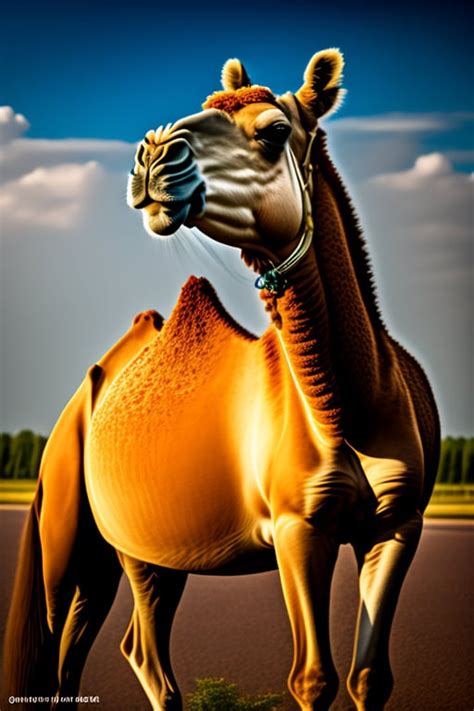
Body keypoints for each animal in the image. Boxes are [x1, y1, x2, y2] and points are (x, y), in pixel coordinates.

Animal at [4, 50, 440, 711]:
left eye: (274, 131)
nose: (155, 155)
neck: (351, 408)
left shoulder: (398, 525)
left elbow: (369, 677)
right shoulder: (297, 528)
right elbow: (312, 678)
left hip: (139, 553)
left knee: (107, 649)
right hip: (71, 535)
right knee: (86, 644)